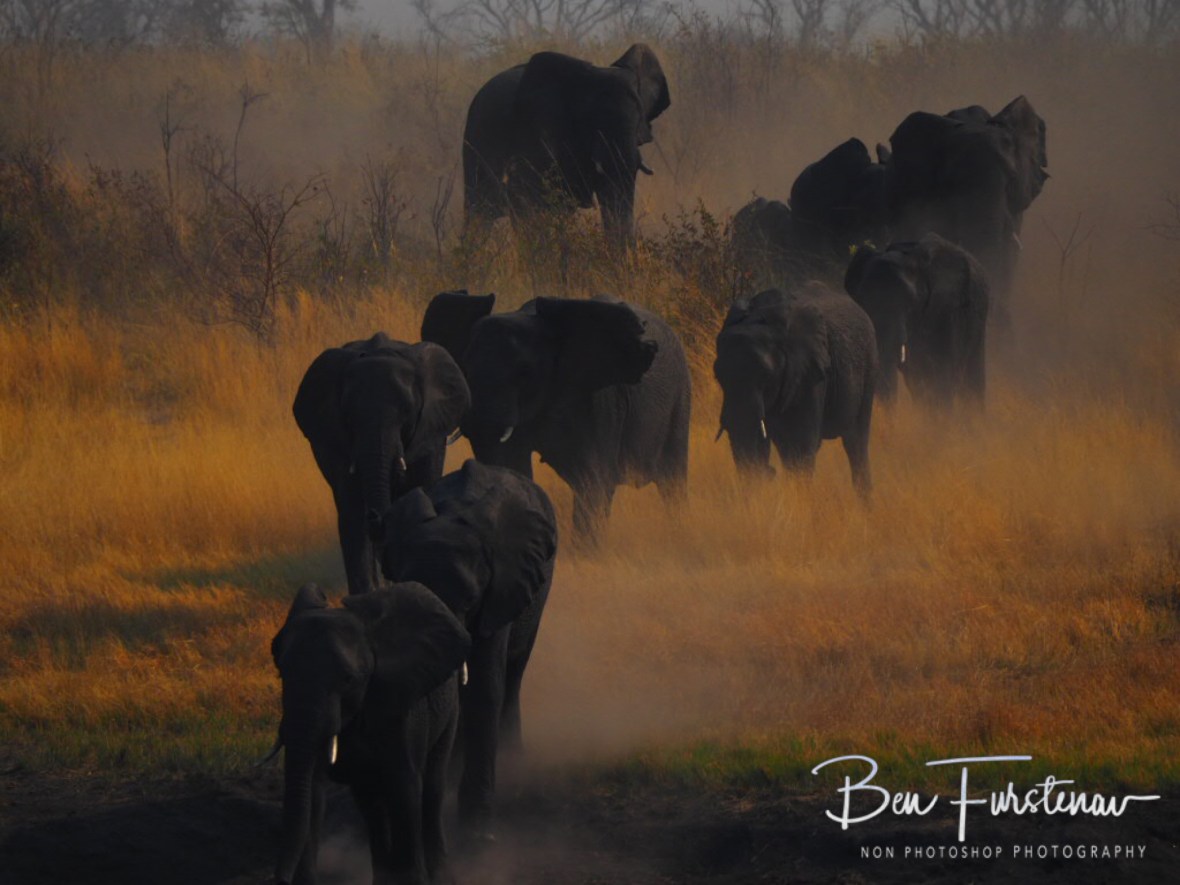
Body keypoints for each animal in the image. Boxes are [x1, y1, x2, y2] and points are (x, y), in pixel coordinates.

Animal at [270, 582, 470, 885]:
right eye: (282, 673)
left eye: (348, 680)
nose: (280, 879)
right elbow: (312, 789)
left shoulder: (402, 711)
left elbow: (405, 785)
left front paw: (413, 879)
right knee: (370, 800)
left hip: (450, 709)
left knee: (432, 785)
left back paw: (439, 874)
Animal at [292, 333, 470, 595]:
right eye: (349, 416)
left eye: (407, 412)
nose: (376, 516)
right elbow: (352, 510)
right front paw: (367, 595)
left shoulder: (431, 433)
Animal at [376, 459, 557, 842]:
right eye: (407, 589)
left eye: (471, 598)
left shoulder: (501, 589)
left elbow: (485, 686)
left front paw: (478, 833)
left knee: (514, 672)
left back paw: (512, 760)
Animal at [421, 290, 691, 542]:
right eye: (464, 366)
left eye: (525, 372)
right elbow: (511, 464)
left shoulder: (596, 400)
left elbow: (594, 478)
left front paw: (587, 552)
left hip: (680, 402)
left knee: (672, 481)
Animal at [713, 283, 877, 496]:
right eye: (718, 377)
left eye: (766, 375)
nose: (770, 472)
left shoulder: (811, 373)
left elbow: (801, 445)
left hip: (869, 366)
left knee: (856, 441)